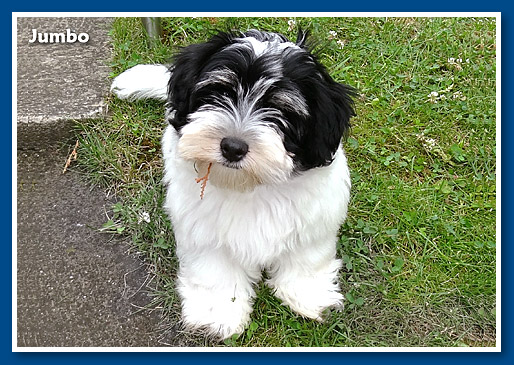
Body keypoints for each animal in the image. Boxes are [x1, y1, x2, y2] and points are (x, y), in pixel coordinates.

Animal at [110, 29, 354, 338]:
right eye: (220, 92)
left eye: (280, 109)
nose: (233, 147)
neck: (249, 185)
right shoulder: (202, 227)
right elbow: (214, 269)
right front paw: (218, 313)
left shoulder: (314, 218)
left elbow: (307, 256)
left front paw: (308, 294)